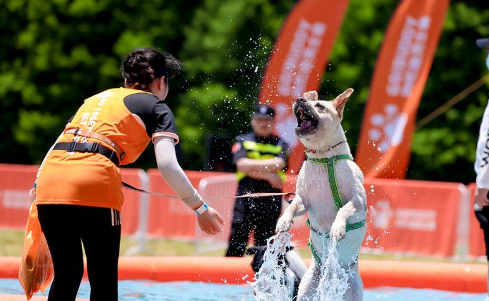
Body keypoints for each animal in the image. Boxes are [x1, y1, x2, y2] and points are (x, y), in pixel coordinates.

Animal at [274, 89, 366, 300]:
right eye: (305, 100)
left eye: (320, 106)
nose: (299, 99)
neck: (324, 157)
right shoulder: (303, 200)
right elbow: (292, 206)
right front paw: (284, 221)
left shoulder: (358, 200)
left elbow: (344, 209)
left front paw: (337, 227)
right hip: (307, 289)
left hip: (355, 290)